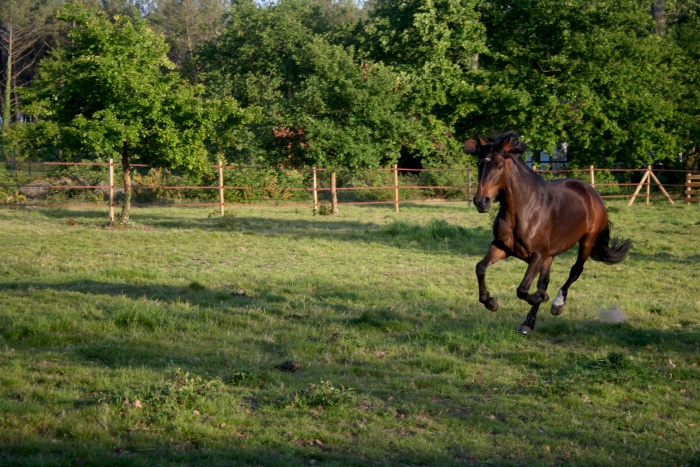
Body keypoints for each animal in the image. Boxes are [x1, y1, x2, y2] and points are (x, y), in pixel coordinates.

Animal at [474, 133, 632, 334]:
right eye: (479, 163)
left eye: (499, 165)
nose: (481, 201)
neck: (525, 209)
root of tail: (593, 193)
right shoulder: (502, 247)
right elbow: (480, 267)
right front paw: (491, 302)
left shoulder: (537, 255)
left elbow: (523, 289)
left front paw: (544, 298)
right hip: (550, 255)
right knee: (544, 281)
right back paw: (528, 323)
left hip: (586, 242)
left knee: (575, 270)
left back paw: (557, 304)